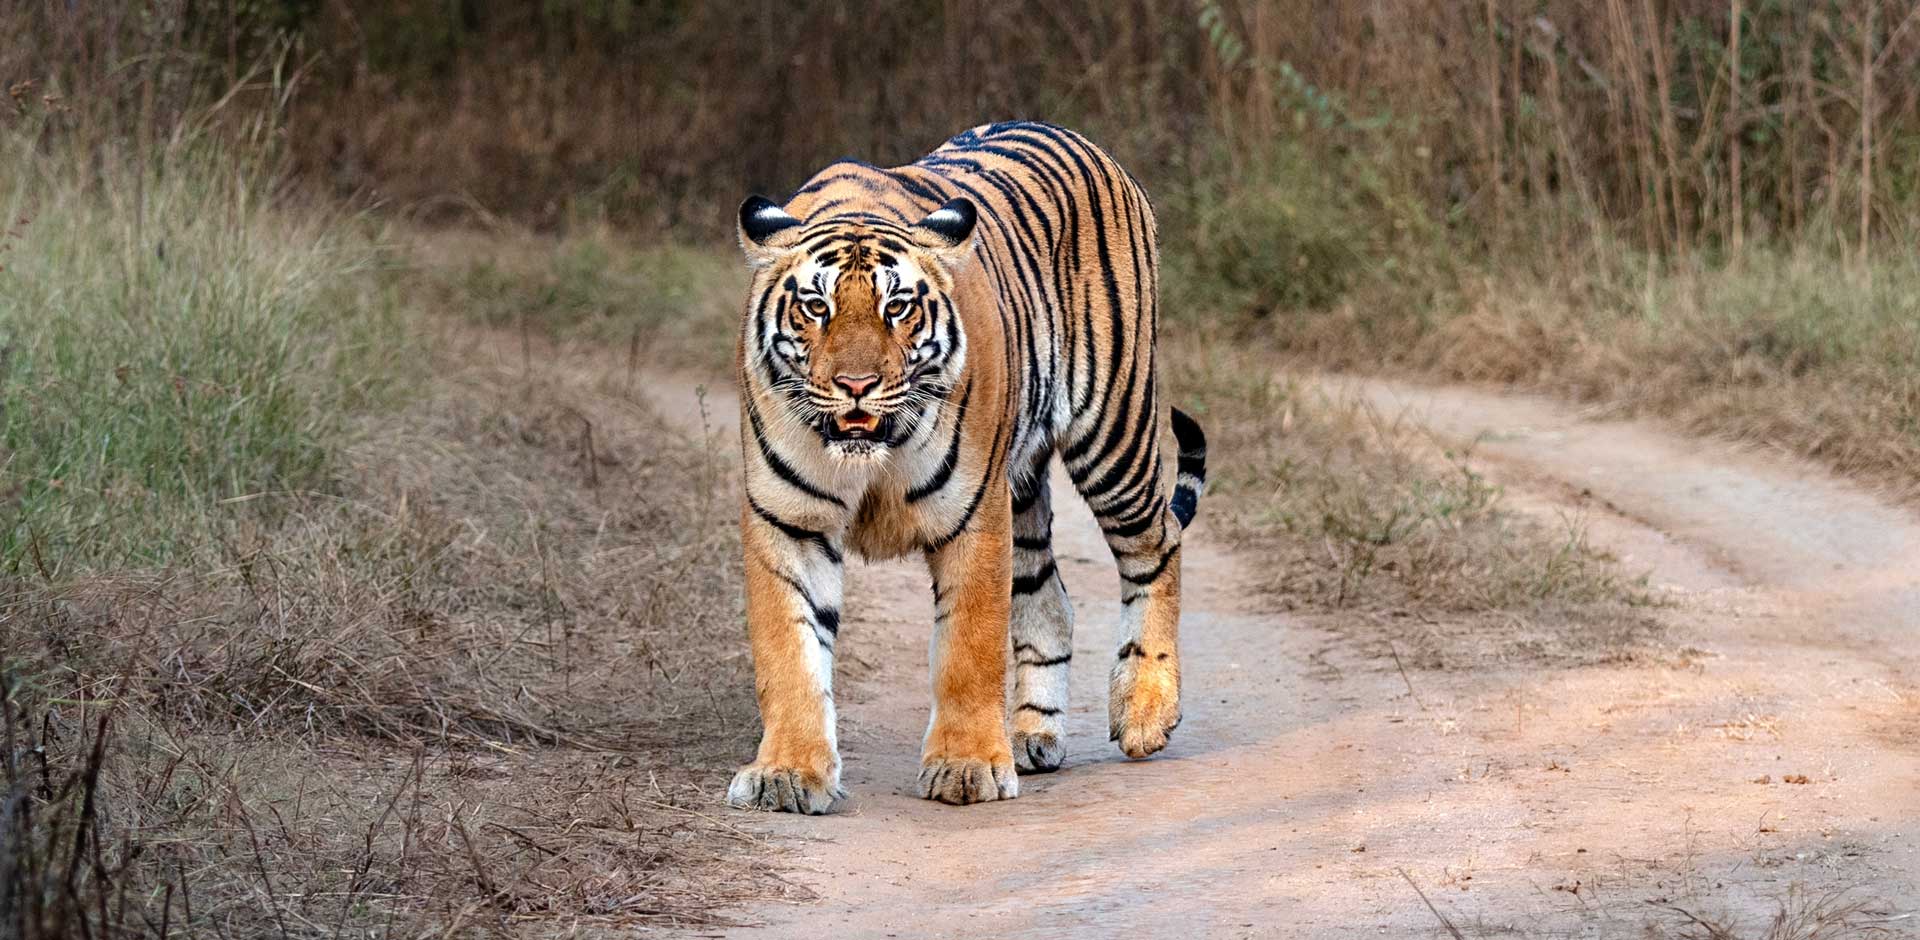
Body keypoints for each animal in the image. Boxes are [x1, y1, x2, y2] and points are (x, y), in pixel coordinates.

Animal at [725, 121, 1205, 813]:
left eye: (897, 307)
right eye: (815, 308)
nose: (856, 386)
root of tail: (1084, 141)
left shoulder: (973, 513)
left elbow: (969, 647)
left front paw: (968, 766)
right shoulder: (787, 521)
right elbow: (787, 651)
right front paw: (787, 772)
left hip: (1114, 428)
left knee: (1156, 543)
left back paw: (1144, 710)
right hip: (1025, 484)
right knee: (1051, 599)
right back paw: (1034, 736)